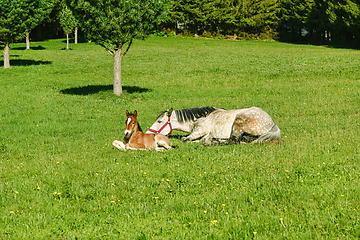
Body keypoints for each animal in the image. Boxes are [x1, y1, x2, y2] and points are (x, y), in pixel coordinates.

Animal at [146, 106, 282, 144]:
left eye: (159, 122)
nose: (147, 134)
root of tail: (272, 123)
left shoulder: (198, 131)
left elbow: (185, 139)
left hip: (239, 121)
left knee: (234, 141)